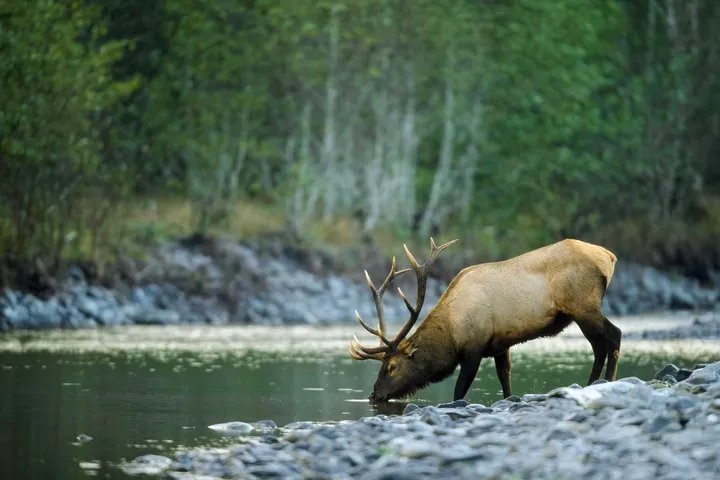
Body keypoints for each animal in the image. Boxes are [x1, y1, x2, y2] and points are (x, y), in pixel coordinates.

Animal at [348, 237, 621, 403]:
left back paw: (608, 381)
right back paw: (591, 384)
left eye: (392, 366)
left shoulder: (474, 348)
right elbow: (506, 381)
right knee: (599, 346)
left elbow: (460, 390)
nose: (374, 394)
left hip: (583, 306)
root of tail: (609, 256)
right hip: (580, 312)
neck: (451, 331)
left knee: (614, 335)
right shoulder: (501, 345)